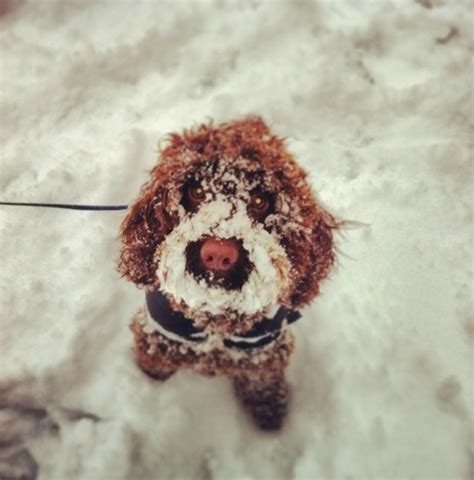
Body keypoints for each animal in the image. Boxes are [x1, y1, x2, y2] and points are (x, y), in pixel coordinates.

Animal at [117, 117, 336, 432]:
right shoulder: (159, 335)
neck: (215, 319)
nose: (218, 254)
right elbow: (154, 359)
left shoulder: (262, 349)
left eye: (259, 200)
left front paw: (269, 411)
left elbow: (262, 379)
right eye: (196, 191)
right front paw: (150, 381)